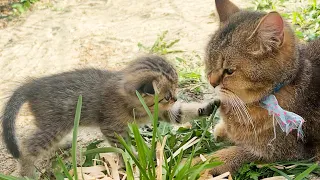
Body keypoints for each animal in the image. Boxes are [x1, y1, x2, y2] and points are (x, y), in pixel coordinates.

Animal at [2, 55, 215, 177]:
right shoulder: (111, 127)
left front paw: (207, 108)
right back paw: (27, 172)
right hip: (55, 125)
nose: (176, 97)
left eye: (176, 90)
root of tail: (32, 86)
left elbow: (180, 114)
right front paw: (133, 158)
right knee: (28, 146)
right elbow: (123, 146)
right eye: (168, 96)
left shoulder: (161, 113)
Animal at [194, 0, 320, 175]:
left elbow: (223, 156)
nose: (211, 82)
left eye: (229, 71)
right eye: (208, 62)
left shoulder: (278, 152)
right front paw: (221, 130)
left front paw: (192, 164)